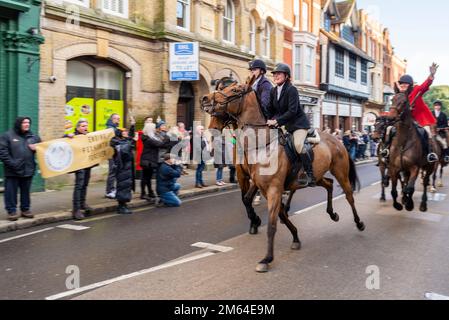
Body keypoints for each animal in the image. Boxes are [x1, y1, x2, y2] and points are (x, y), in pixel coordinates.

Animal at [200, 77, 364, 272]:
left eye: (235, 90)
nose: (205, 99)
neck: (260, 145)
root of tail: (337, 140)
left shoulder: (273, 189)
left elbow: (272, 224)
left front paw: (266, 258)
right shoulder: (258, 184)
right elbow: (260, 206)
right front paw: (293, 236)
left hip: (340, 172)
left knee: (349, 196)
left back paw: (359, 222)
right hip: (316, 177)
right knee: (329, 184)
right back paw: (332, 213)